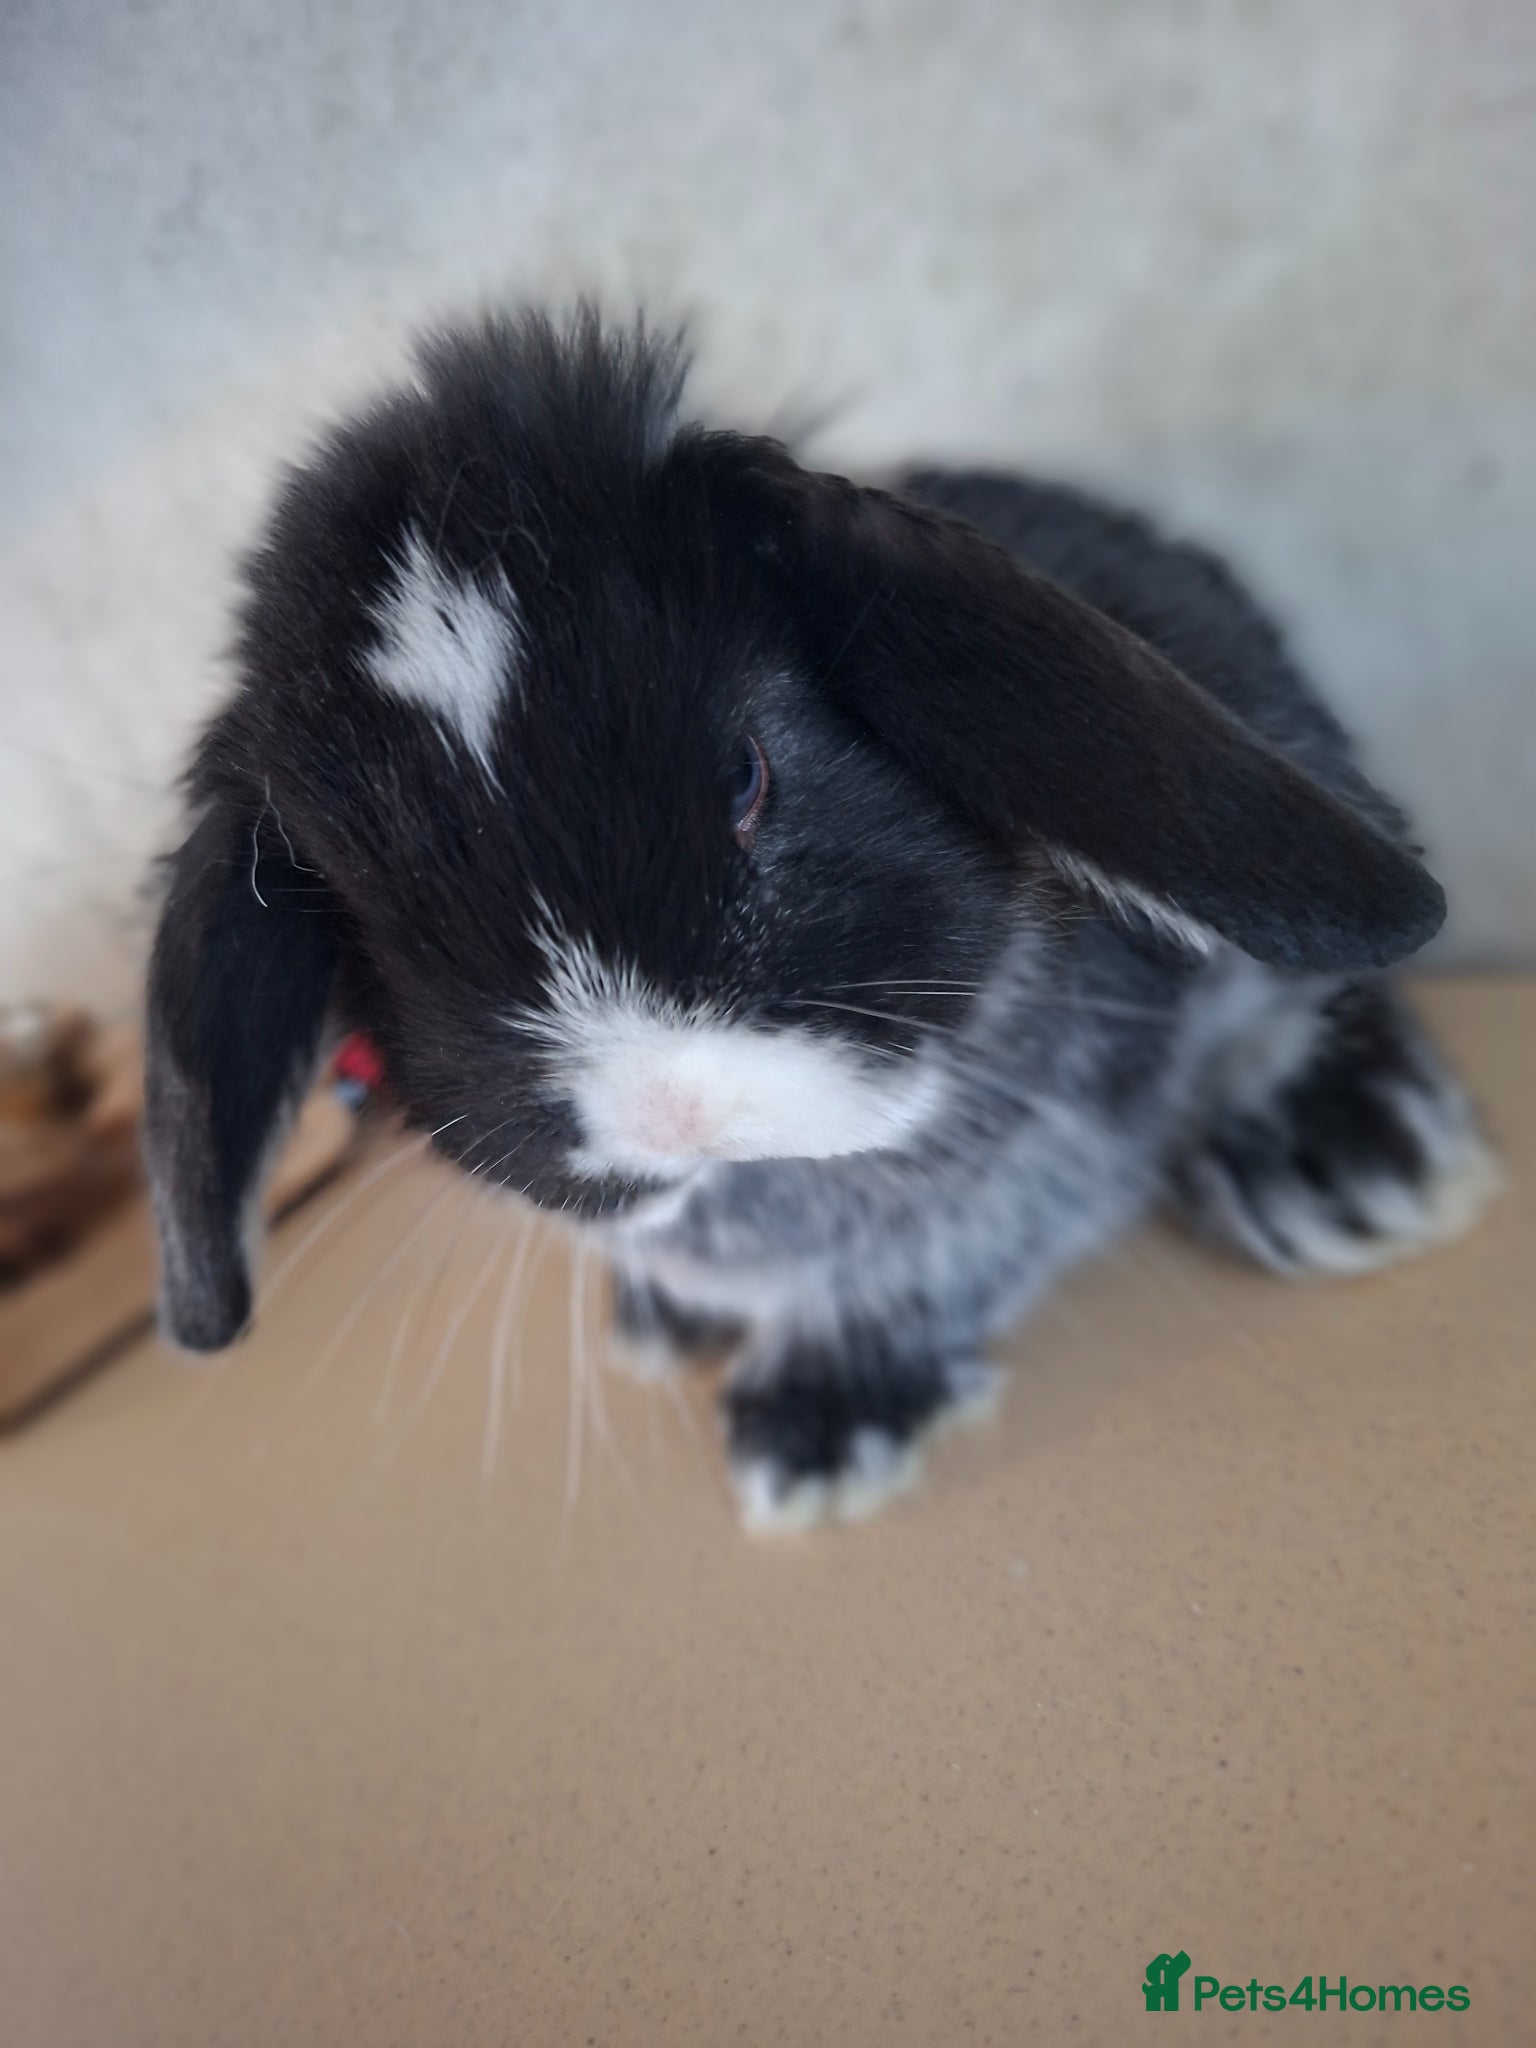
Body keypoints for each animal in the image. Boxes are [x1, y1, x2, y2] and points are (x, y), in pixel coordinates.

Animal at [145, 307, 1497, 1530]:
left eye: (748, 772)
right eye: (377, 929)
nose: (666, 1113)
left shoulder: (1040, 1142)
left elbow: (949, 1251)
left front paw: (816, 1432)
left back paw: (1348, 1159)